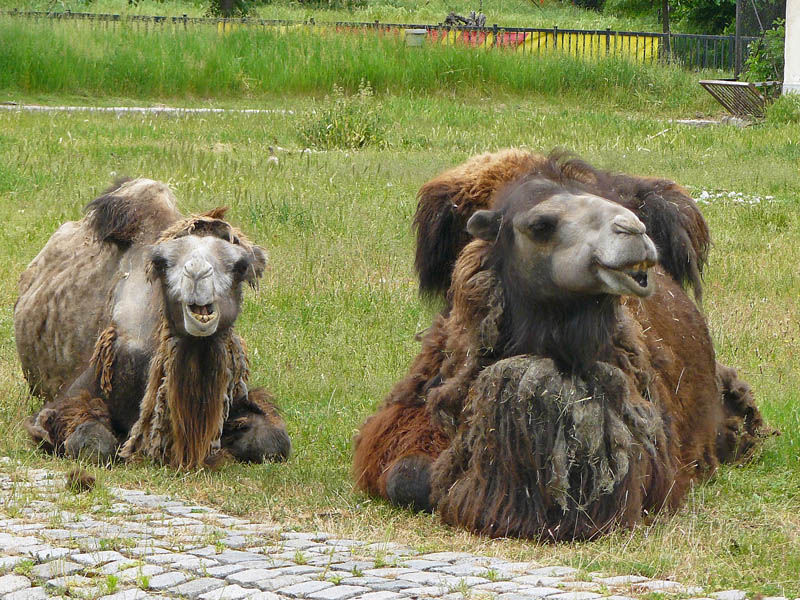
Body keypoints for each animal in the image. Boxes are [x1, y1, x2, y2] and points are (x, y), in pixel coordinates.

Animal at [15, 178, 290, 469]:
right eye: (162, 262)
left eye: (239, 265)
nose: (197, 274)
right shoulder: (75, 393)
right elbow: (91, 443)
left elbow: (274, 442)